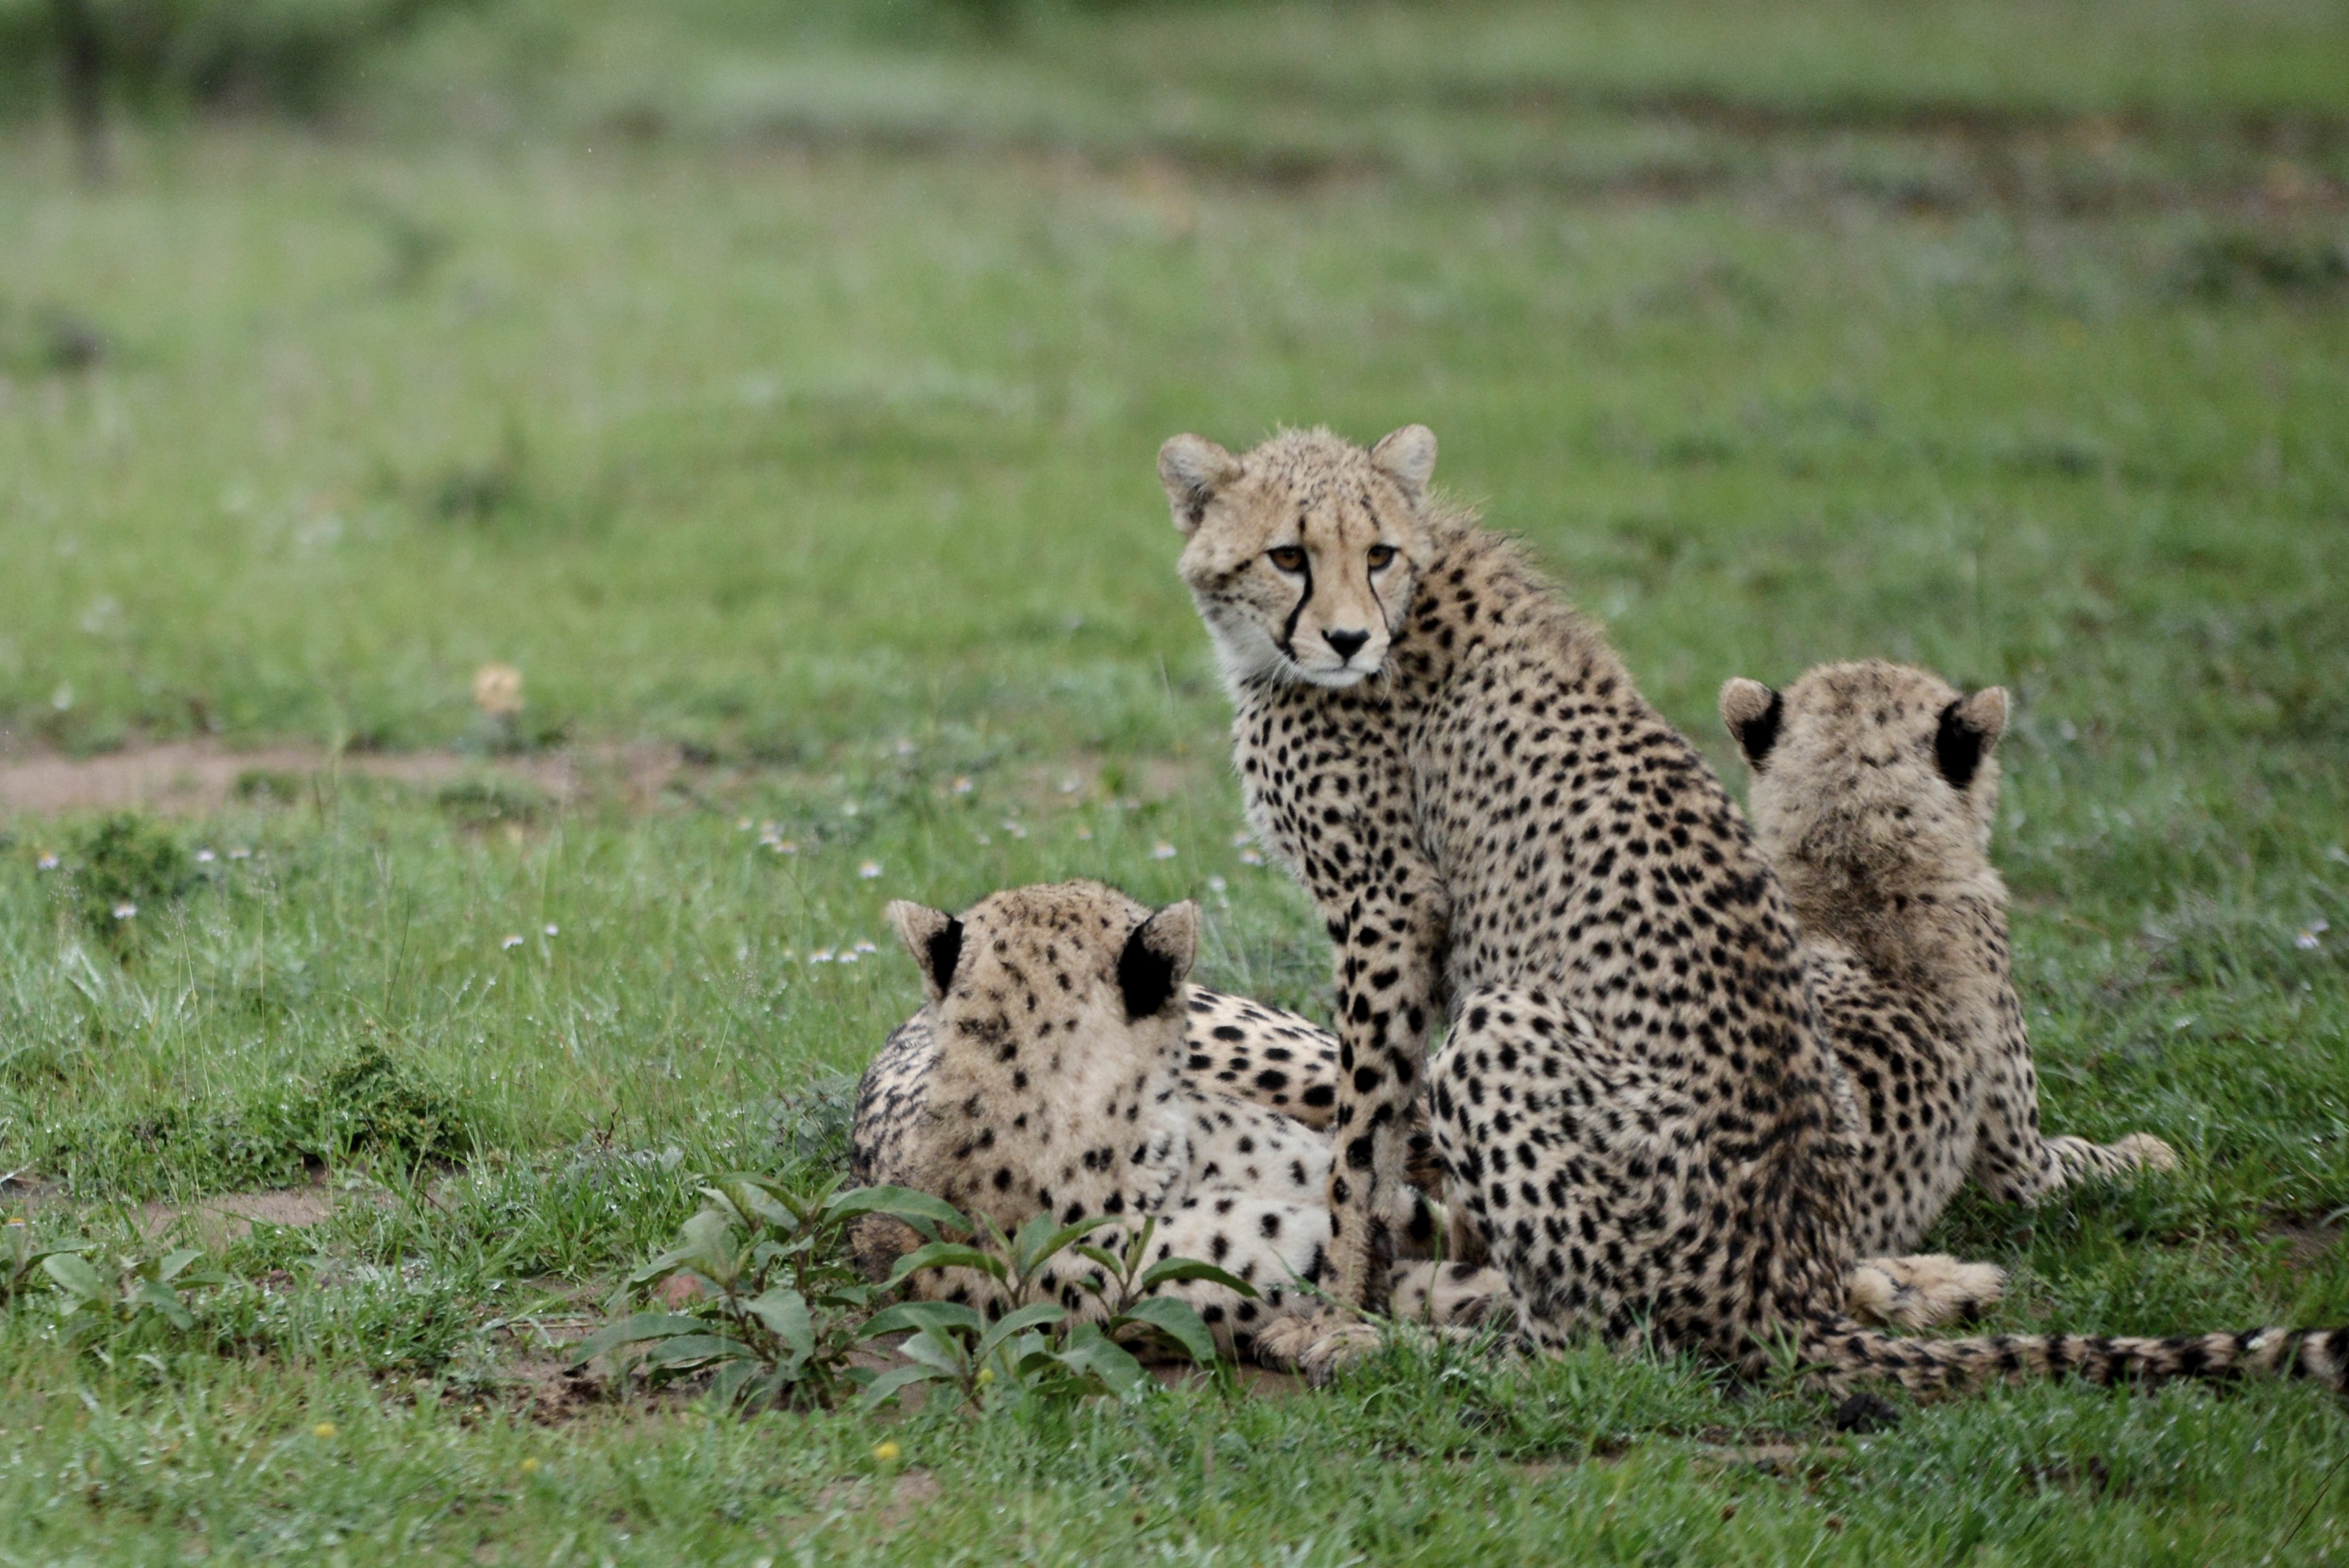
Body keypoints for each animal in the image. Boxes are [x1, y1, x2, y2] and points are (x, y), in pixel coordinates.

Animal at [1157, 422, 2349, 1399]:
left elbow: (1362, 1144)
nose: (1347, 641)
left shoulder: (1386, 905)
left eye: (1377, 555)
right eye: (1288, 556)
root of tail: (1786, 1287)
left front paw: (1340, 1298)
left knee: (1589, 1348)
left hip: (1505, 1034)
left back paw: (1380, 1346)